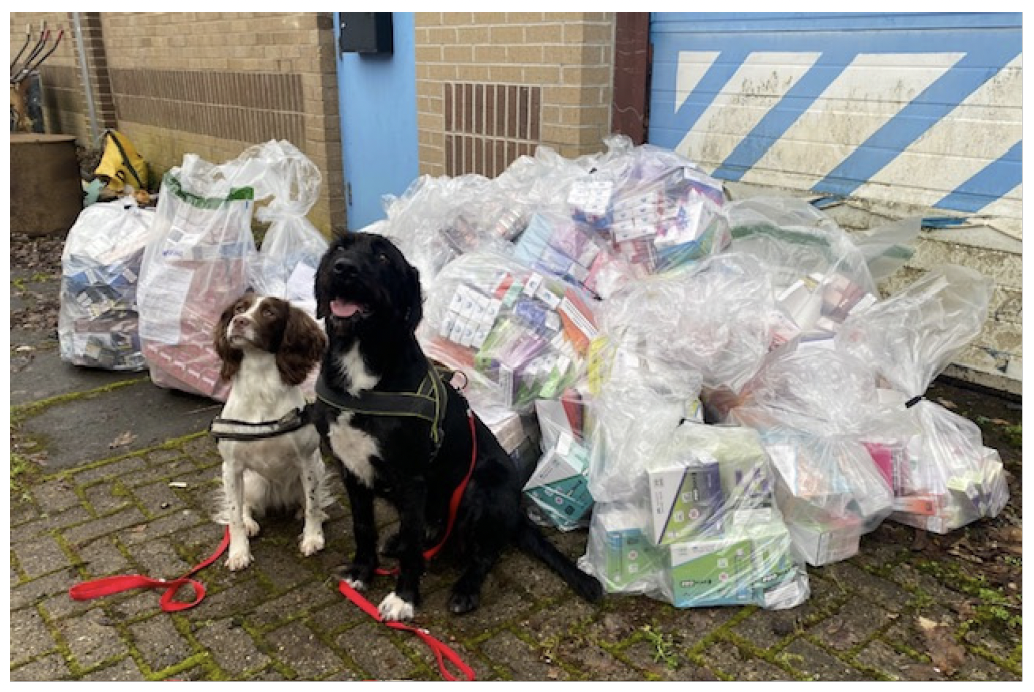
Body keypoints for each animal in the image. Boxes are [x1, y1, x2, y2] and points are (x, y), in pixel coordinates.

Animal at [314, 231, 603, 620]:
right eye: (339, 249)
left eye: (383, 257)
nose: (344, 269)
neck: (361, 367)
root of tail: (516, 511)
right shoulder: (352, 470)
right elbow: (363, 527)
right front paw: (362, 571)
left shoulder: (411, 478)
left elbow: (413, 552)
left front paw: (404, 597)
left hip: (482, 487)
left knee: (483, 553)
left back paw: (465, 589)